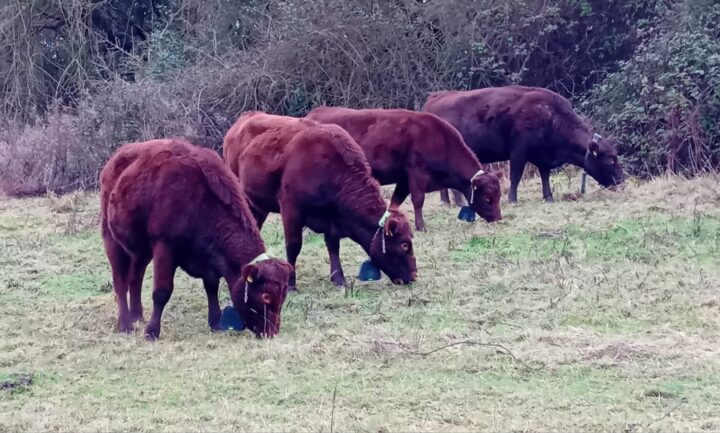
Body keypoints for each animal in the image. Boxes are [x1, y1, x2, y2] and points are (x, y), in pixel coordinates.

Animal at [100, 139, 293, 340]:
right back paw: (126, 325)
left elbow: (211, 285)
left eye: (283, 295)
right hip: (111, 238)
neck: (199, 200)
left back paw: (137, 316)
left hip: (141, 249)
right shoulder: (164, 246)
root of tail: (116, 159)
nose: (271, 332)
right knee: (120, 280)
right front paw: (152, 332)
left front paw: (215, 322)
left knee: (135, 277)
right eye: (266, 296)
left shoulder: (207, 256)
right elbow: (162, 292)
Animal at [223, 111, 417, 289]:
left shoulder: (332, 220)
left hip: (259, 205)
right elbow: (293, 245)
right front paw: (291, 283)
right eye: (404, 244)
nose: (414, 275)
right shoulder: (291, 209)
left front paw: (338, 278)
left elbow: (333, 245)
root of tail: (247, 116)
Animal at [306, 107, 502, 231]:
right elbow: (418, 200)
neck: (440, 140)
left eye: (499, 195)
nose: (498, 218)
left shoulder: (403, 180)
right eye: (487, 198)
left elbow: (394, 203)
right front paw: (421, 227)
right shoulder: (417, 174)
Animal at [423, 86, 624, 203]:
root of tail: (434, 98)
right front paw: (512, 199)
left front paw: (548, 197)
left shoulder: (543, 155)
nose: (622, 180)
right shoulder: (519, 152)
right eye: (610, 159)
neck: (550, 116)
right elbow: (516, 176)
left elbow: (545, 175)